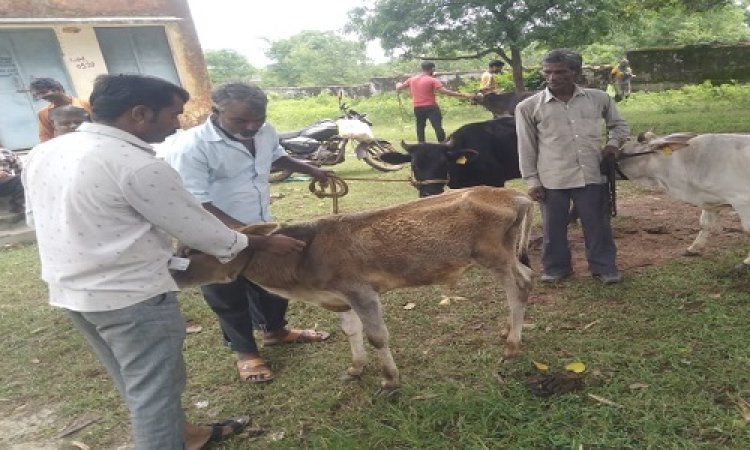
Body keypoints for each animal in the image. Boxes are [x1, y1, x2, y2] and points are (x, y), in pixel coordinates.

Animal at [172, 185, 536, 390]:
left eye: (191, 249)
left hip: (494, 256)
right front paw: (356, 368)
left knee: (518, 287)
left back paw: (512, 346)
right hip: (507, 255)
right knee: (528, 278)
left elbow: (376, 336)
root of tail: (515, 194)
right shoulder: (339, 298)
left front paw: (390, 379)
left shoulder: (362, 292)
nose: (171, 273)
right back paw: (508, 331)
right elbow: (351, 332)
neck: (302, 258)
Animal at [616, 132, 750, 268]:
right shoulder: (710, 200)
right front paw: (693, 248)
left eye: (622, 151)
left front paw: (747, 261)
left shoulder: (742, 201)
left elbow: (747, 229)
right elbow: (704, 224)